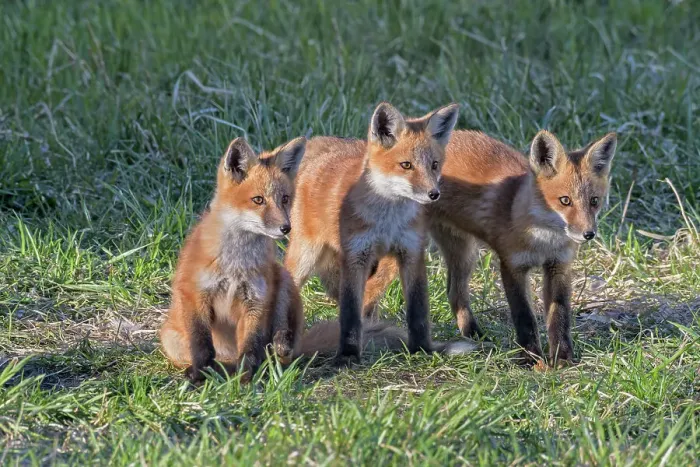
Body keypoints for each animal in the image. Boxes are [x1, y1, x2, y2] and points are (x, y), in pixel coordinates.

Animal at [160, 136, 307, 383]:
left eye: (285, 199)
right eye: (258, 200)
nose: (286, 228)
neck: (236, 264)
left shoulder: (256, 301)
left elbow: (250, 347)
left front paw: (245, 379)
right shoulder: (195, 294)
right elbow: (201, 345)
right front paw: (199, 376)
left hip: (283, 281)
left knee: (280, 349)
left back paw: (278, 349)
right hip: (170, 339)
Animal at [284, 101, 460, 365]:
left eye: (434, 165)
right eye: (406, 165)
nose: (434, 194)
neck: (387, 222)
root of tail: (319, 141)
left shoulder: (411, 252)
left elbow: (418, 311)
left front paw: (422, 350)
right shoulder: (356, 256)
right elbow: (349, 315)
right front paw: (347, 355)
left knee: (370, 305)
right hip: (305, 256)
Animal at [366, 129, 618, 366]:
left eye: (594, 201)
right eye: (565, 201)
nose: (588, 234)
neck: (544, 240)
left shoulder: (558, 266)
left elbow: (560, 317)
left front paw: (562, 358)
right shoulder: (512, 266)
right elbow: (524, 317)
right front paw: (530, 358)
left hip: (465, 254)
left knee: (454, 293)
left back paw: (474, 335)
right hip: (405, 251)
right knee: (369, 291)